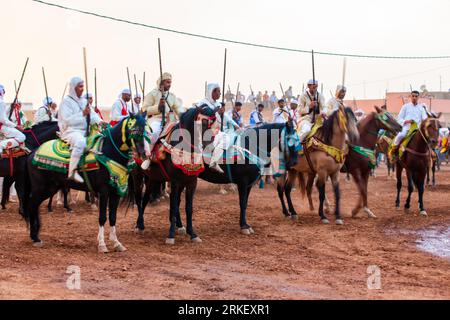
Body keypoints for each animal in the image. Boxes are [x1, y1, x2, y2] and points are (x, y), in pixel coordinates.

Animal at [25, 115, 146, 252]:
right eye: (132, 129)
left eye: (144, 130)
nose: (142, 152)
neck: (108, 153)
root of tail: (32, 153)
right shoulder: (103, 192)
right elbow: (102, 217)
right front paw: (102, 245)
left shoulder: (115, 193)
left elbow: (113, 217)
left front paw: (117, 243)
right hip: (40, 188)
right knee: (31, 205)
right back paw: (35, 237)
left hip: (50, 188)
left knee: (34, 206)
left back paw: (36, 235)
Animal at [133, 119, 298, 239]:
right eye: (290, 140)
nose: (293, 163)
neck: (249, 146)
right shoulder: (243, 183)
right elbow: (242, 204)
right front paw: (244, 226)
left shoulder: (249, 185)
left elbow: (245, 204)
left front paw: (246, 225)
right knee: (147, 199)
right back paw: (141, 226)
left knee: (171, 201)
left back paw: (178, 226)